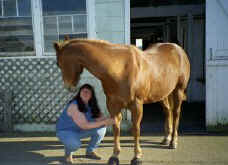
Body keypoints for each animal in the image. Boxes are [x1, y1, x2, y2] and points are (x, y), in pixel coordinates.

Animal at [54, 39, 191, 165]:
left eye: (59, 63)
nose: (69, 87)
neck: (120, 68)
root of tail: (178, 49)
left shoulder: (137, 105)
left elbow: (136, 129)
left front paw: (137, 156)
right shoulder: (113, 105)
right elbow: (116, 128)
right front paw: (115, 156)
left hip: (178, 90)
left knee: (176, 113)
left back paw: (173, 142)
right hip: (163, 94)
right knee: (168, 112)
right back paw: (166, 138)